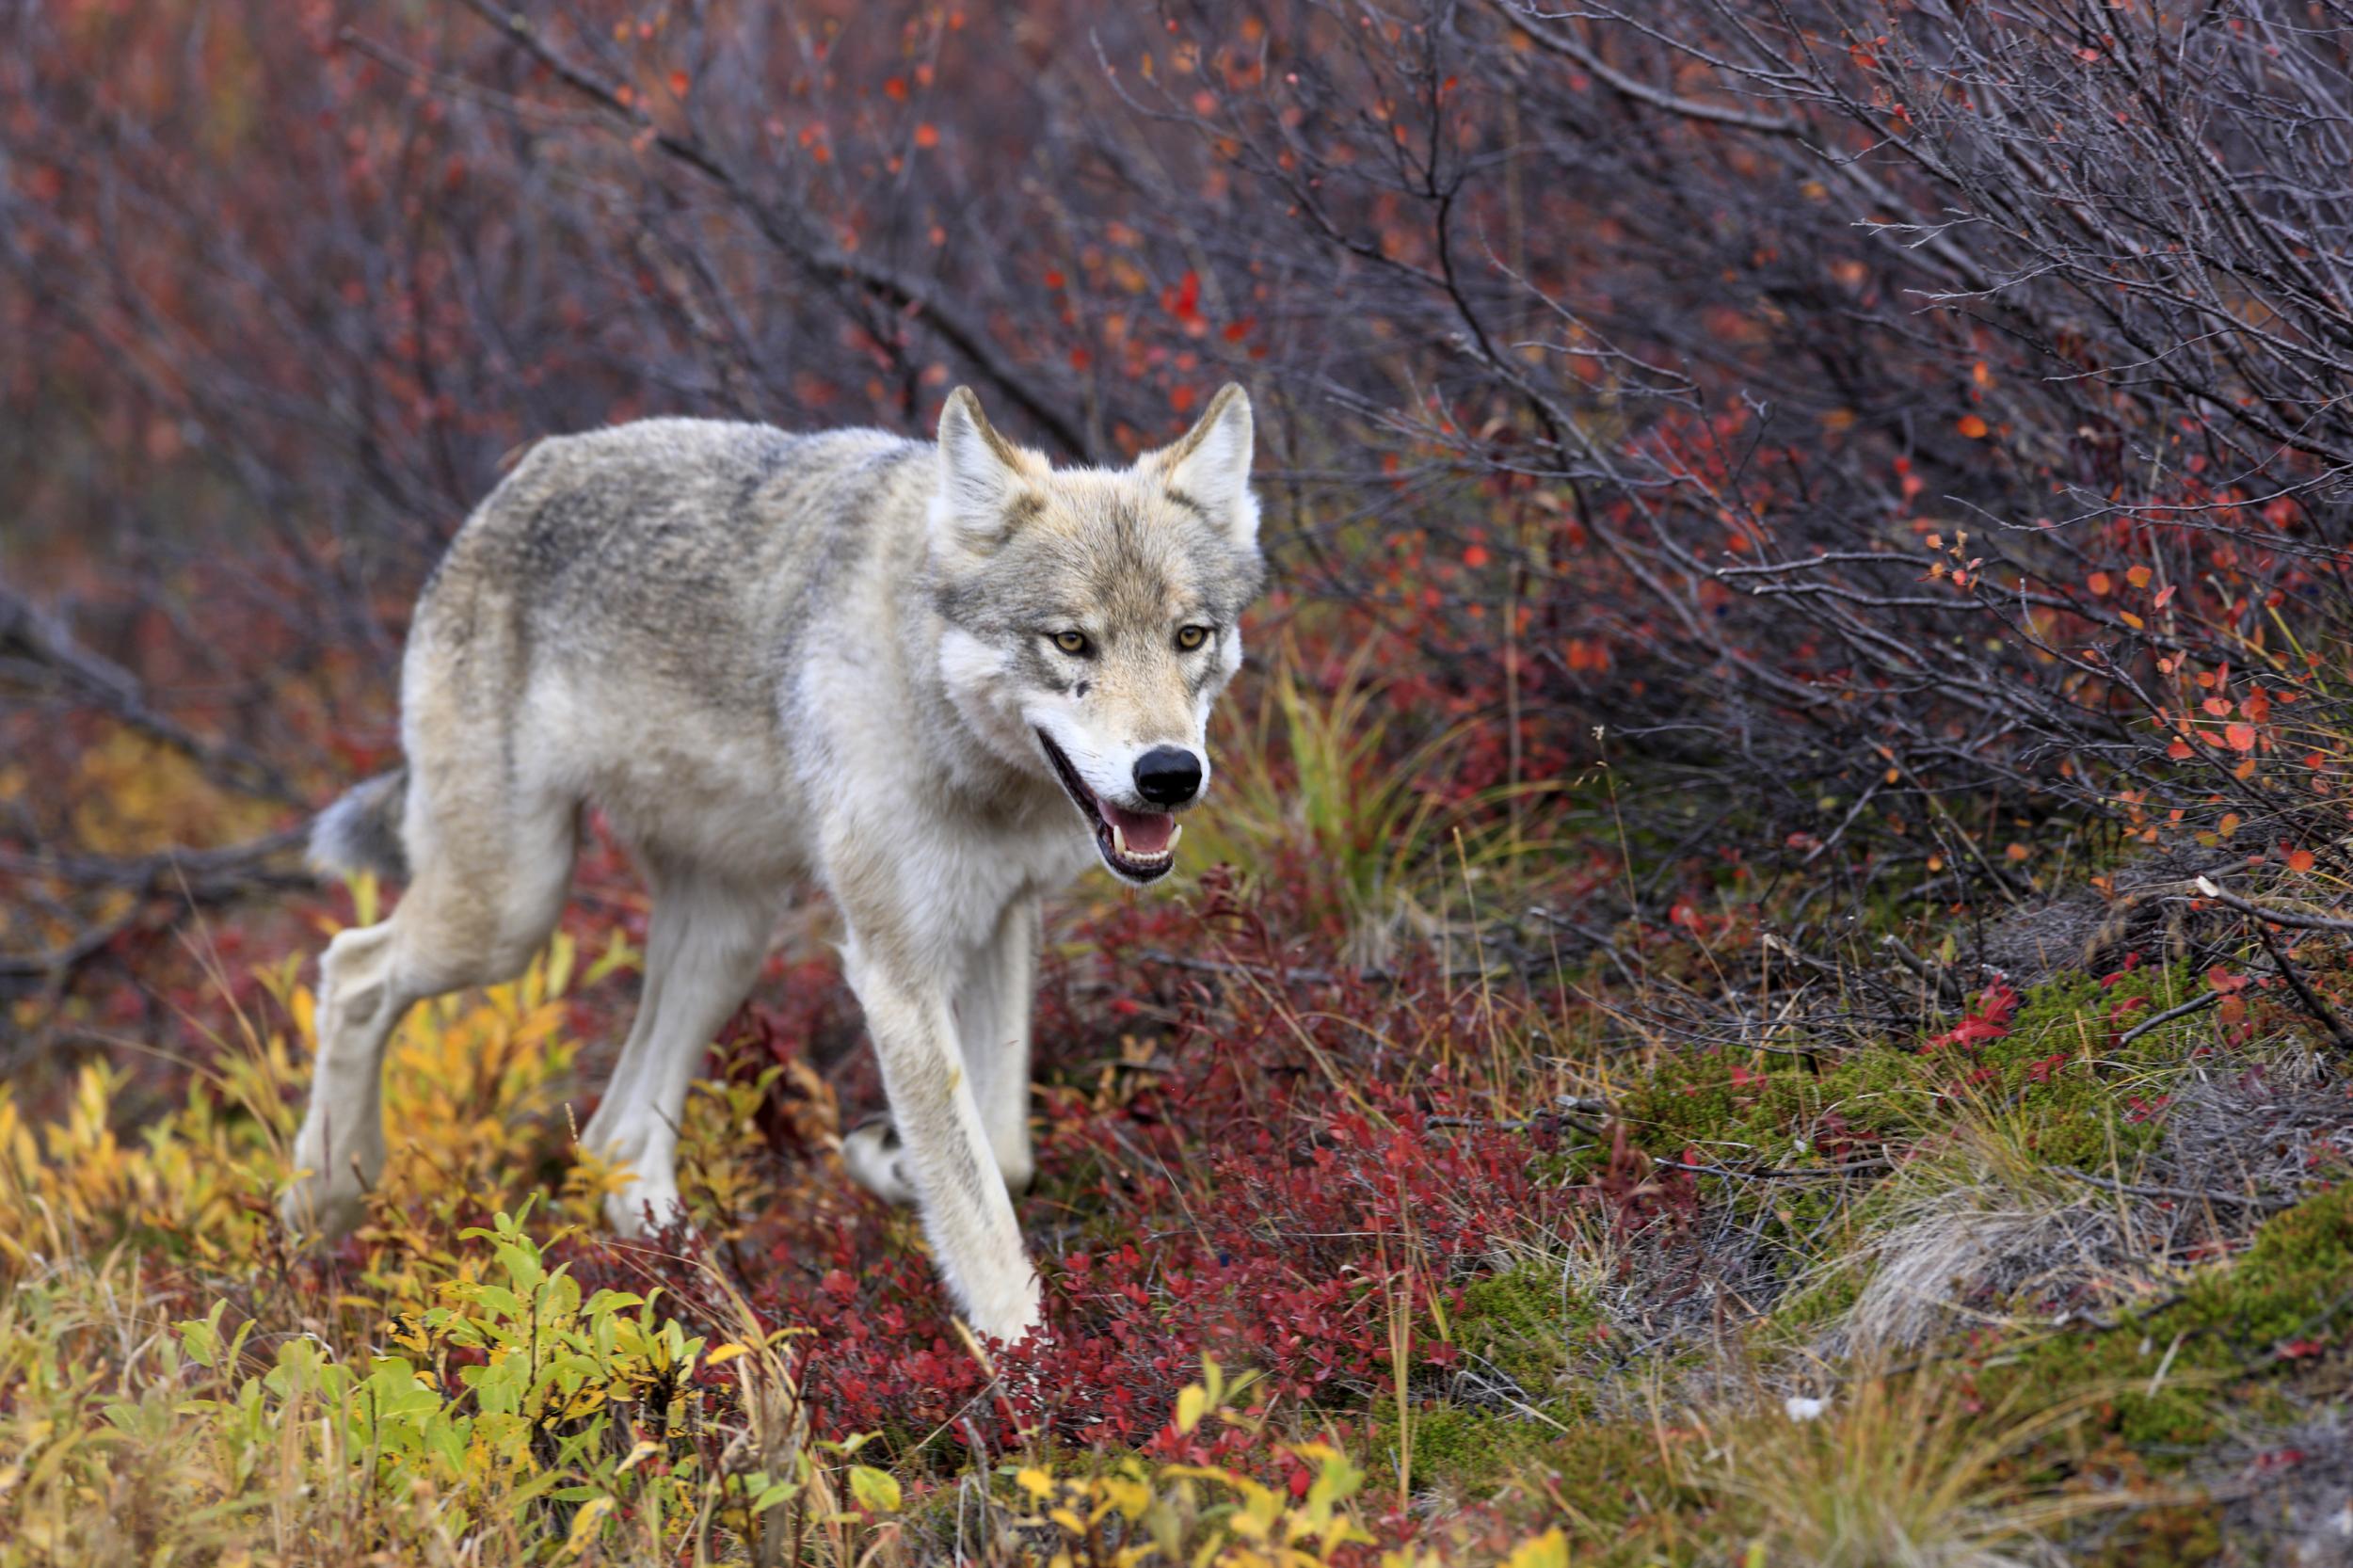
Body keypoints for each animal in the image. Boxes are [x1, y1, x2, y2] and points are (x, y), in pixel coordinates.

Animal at [282, 383, 1261, 1336]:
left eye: (1189, 637)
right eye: (1070, 641)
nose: (1169, 774)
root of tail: (512, 483)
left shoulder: (998, 919)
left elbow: (1005, 1153)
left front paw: (889, 1165)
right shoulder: (894, 974)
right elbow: (979, 1210)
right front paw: (1030, 1371)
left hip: (726, 943)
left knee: (615, 1139)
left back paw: (708, 1310)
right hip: (509, 919)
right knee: (353, 967)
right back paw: (325, 1202)